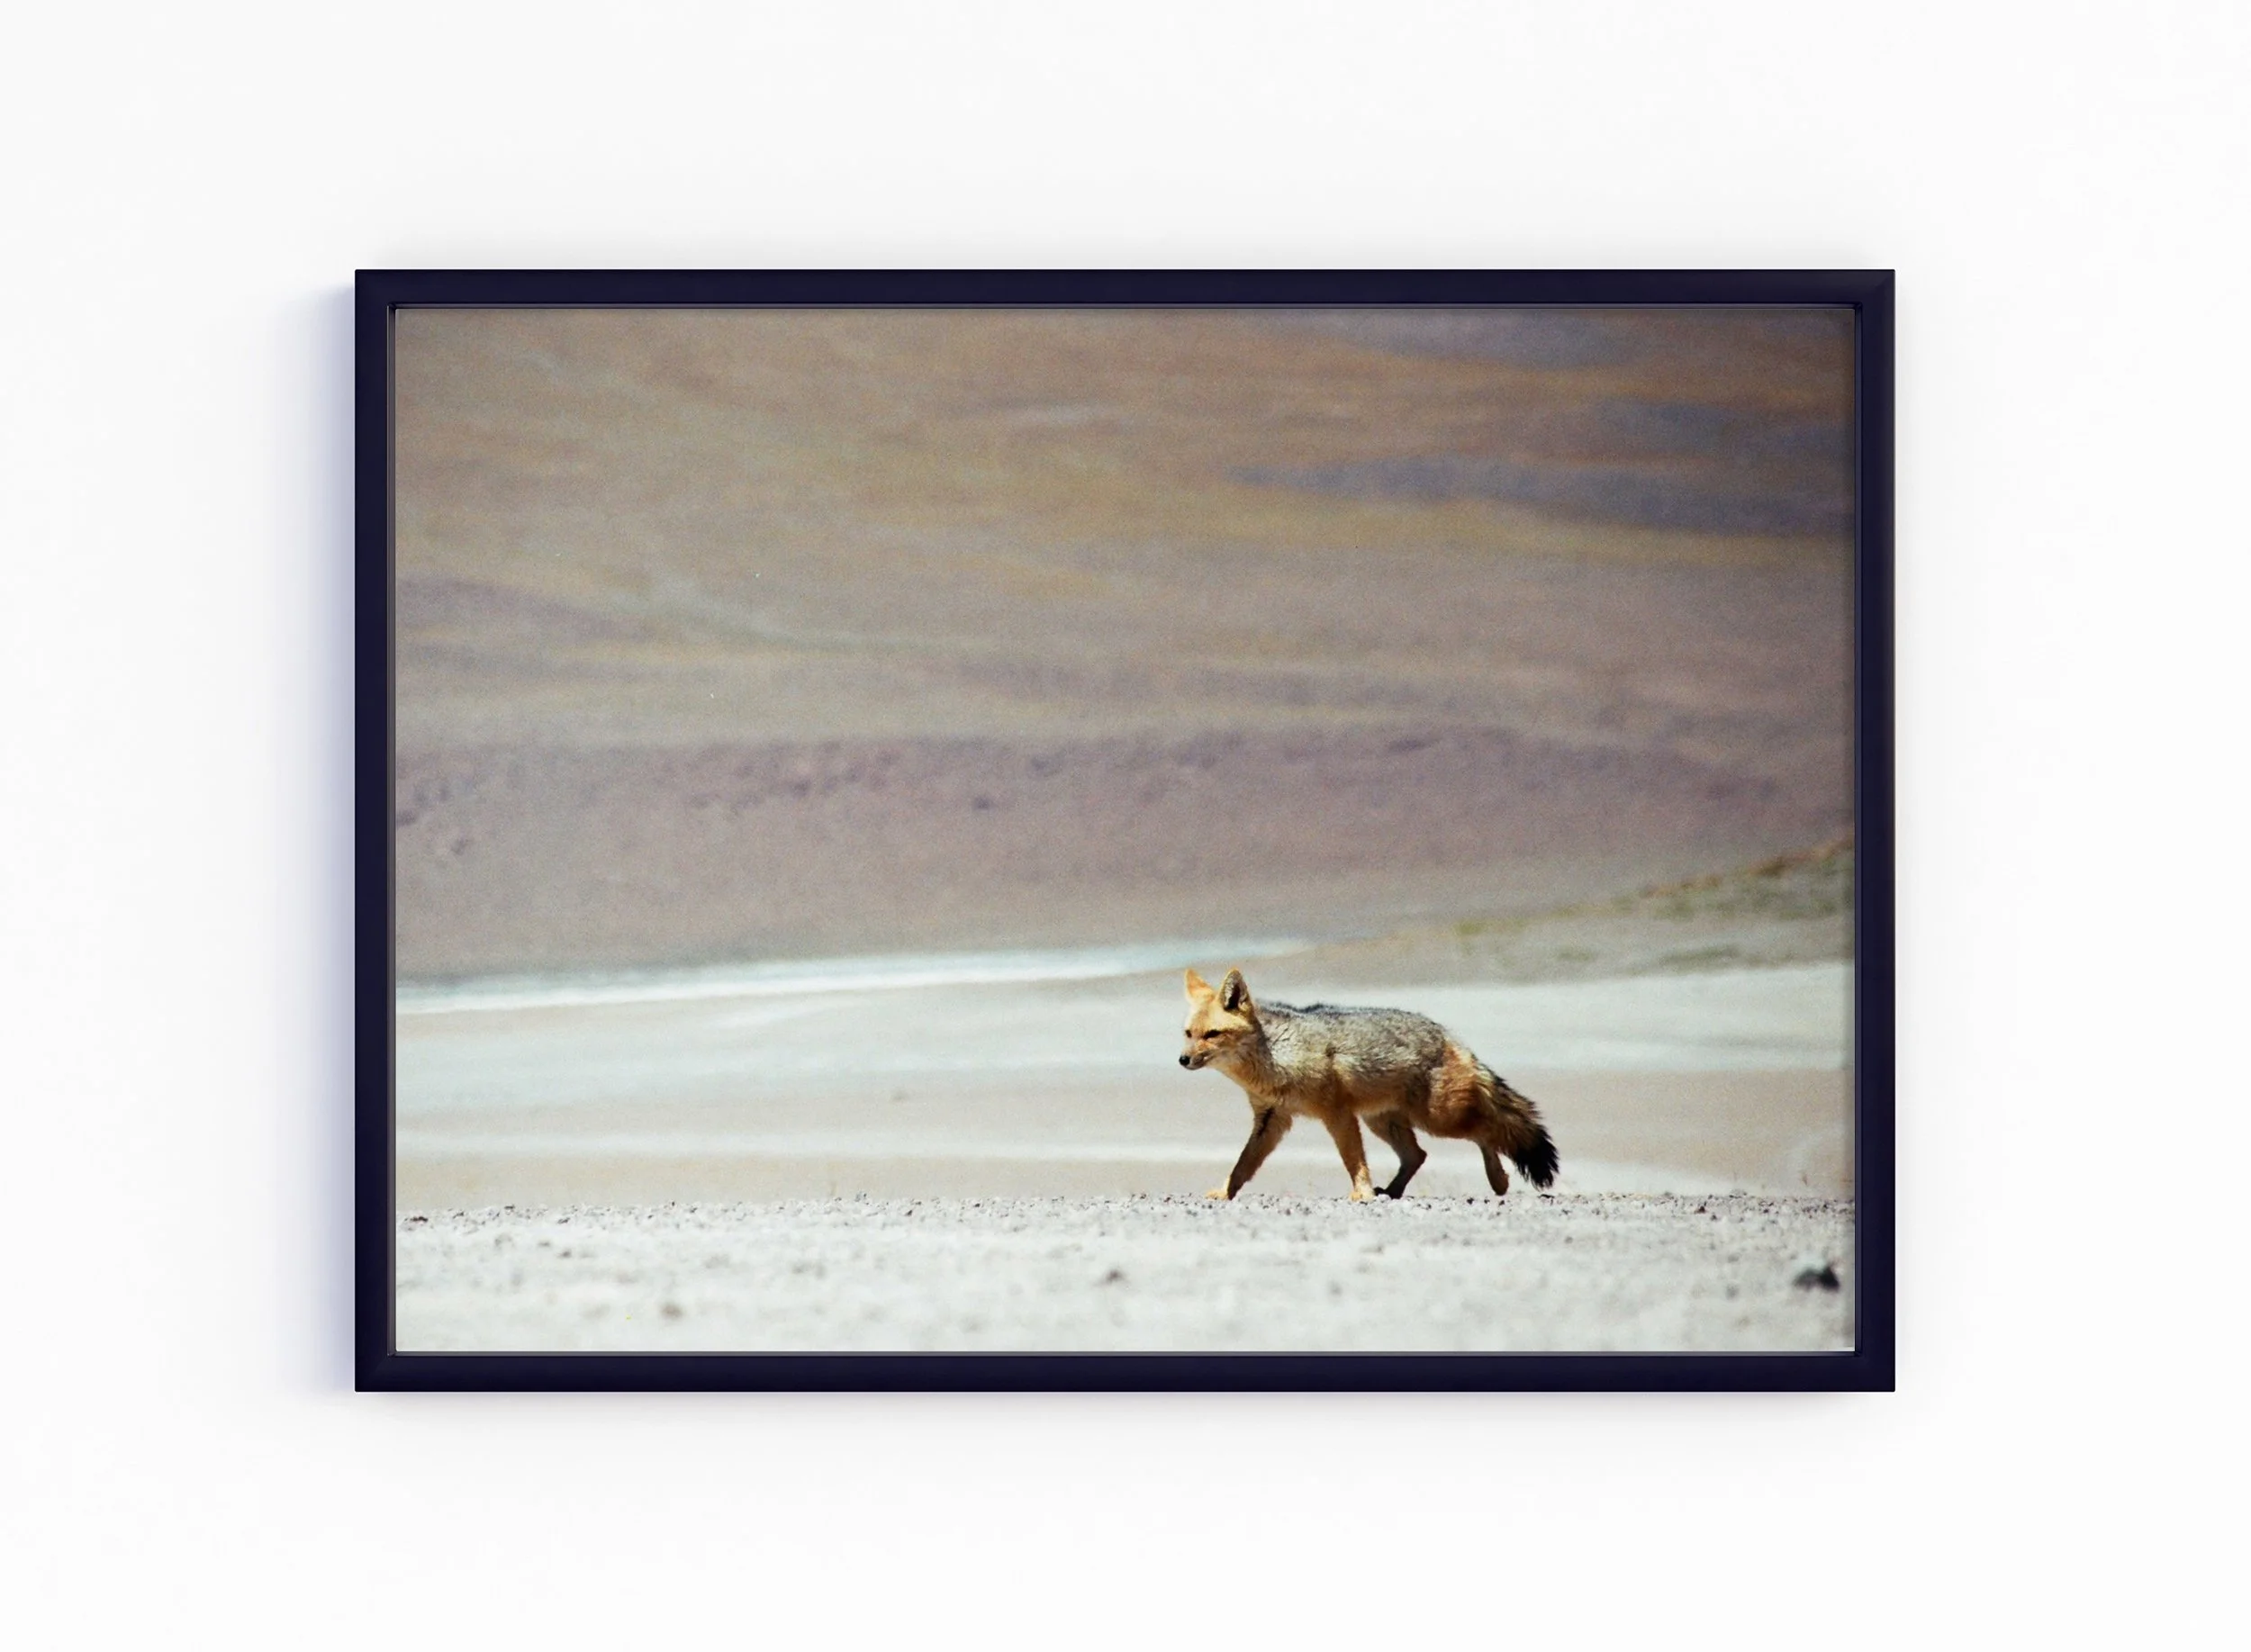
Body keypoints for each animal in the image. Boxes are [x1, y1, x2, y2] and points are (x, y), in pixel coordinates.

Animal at [1180, 967, 1558, 1202]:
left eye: (1212, 1035)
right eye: (1188, 1034)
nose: (1182, 1060)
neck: (1275, 1056)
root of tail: (1448, 1035)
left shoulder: (1338, 1114)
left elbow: (1353, 1160)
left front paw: (1361, 1193)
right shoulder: (1272, 1119)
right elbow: (1242, 1165)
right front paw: (1225, 1192)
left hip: (1439, 1118)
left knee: (1487, 1129)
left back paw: (1498, 1180)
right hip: (1383, 1121)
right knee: (1418, 1155)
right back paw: (1391, 1191)